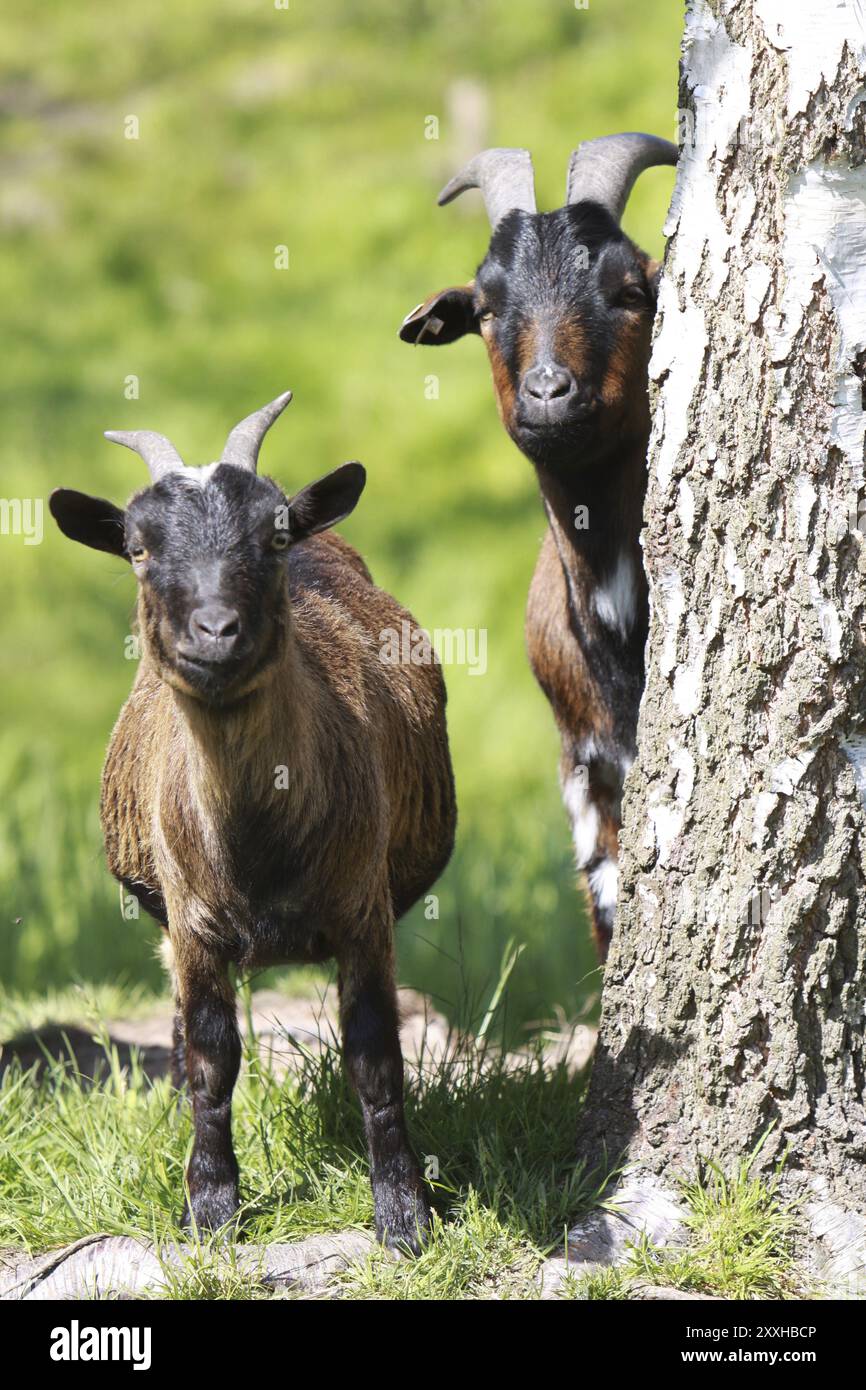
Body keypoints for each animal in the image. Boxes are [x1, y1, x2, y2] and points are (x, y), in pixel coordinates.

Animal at [48, 394, 458, 1262]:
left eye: (270, 536)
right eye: (138, 549)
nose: (216, 630)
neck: (256, 846)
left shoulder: (363, 910)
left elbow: (375, 1057)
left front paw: (405, 1216)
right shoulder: (193, 924)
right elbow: (211, 1058)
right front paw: (210, 1208)